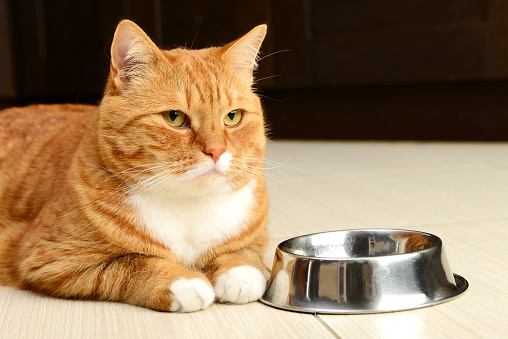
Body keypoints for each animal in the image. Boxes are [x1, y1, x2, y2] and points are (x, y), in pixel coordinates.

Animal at [0, 19, 270, 314]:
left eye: (232, 117)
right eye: (174, 118)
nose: (216, 151)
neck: (188, 207)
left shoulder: (253, 237)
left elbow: (245, 254)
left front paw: (239, 273)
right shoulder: (51, 259)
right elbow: (132, 263)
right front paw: (184, 282)